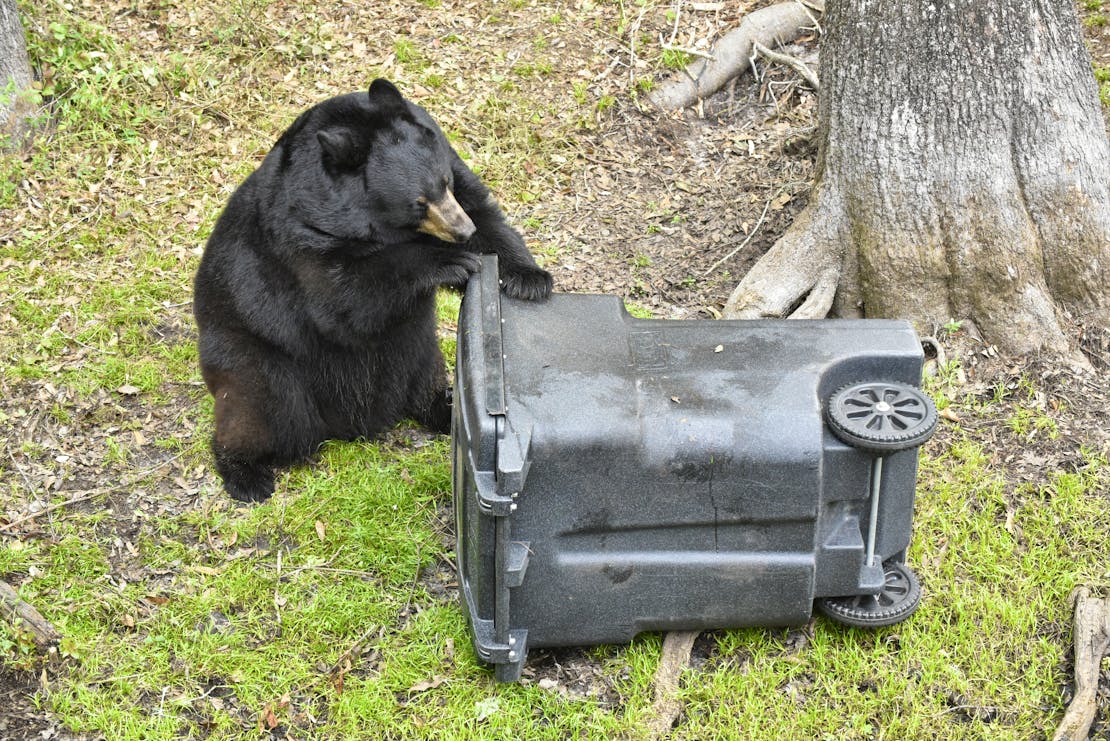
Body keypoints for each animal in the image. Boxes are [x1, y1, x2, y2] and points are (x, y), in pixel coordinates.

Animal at [195, 76, 555, 503]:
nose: (461, 232)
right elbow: (344, 297)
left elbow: (486, 215)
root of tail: (353, 424)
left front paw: (528, 278)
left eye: (443, 184)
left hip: (417, 348)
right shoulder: (301, 236)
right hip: (251, 354)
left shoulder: (452, 166)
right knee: (260, 409)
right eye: (418, 202)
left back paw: (444, 404)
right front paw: (447, 261)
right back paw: (246, 474)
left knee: (422, 375)